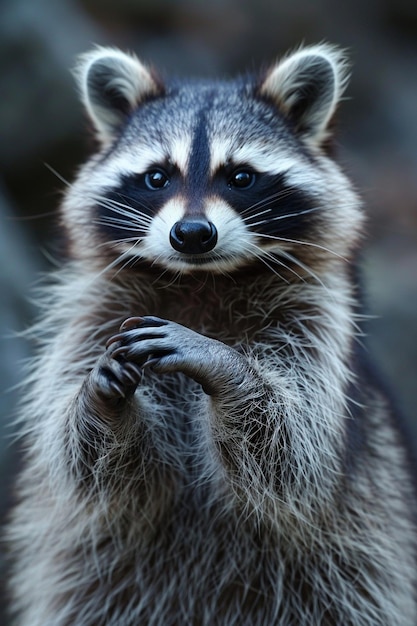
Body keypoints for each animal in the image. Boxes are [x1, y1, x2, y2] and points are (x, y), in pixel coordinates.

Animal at [6, 44, 416, 624]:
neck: (201, 280)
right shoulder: (94, 314)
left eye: (240, 177)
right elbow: (91, 464)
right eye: (157, 177)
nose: (193, 234)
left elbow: (294, 449)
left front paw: (222, 364)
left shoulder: (314, 323)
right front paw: (97, 399)